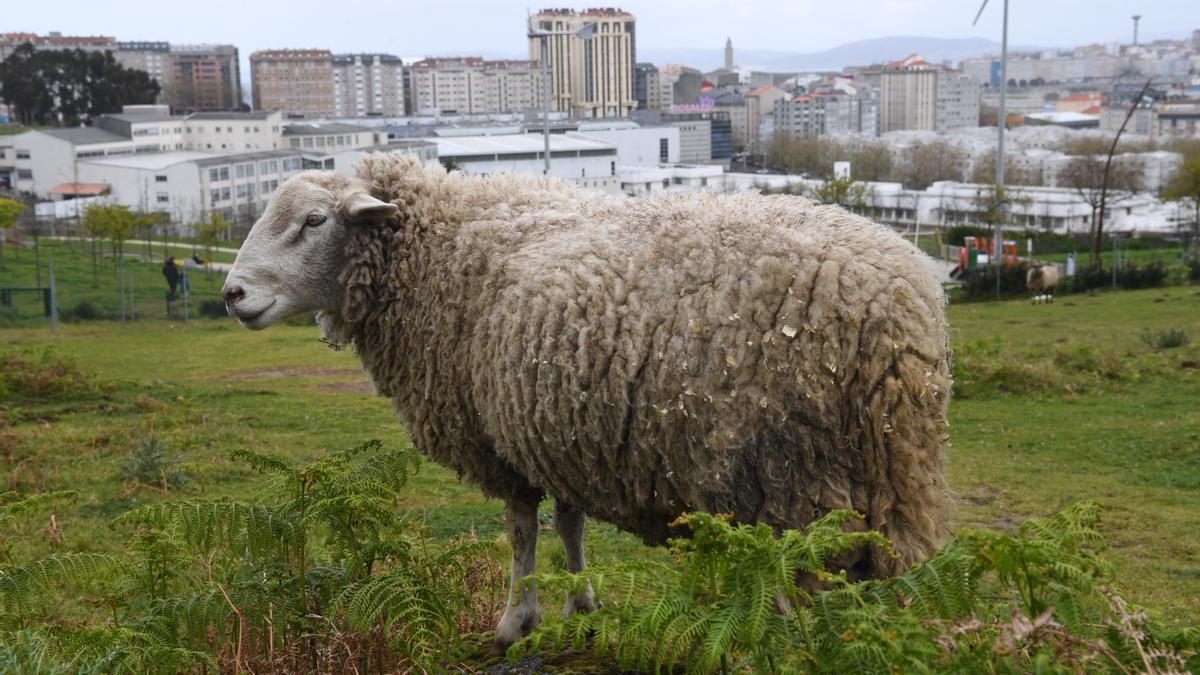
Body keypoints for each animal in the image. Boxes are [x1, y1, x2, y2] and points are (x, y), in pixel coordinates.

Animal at [223, 153, 955, 648]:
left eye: (314, 220)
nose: (232, 294)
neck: (437, 249)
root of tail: (904, 311)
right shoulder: (559, 425)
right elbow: (569, 525)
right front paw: (581, 606)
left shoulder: (501, 440)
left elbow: (521, 530)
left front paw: (517, 619)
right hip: (891, 484)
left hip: (784, 475)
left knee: (794, 584)